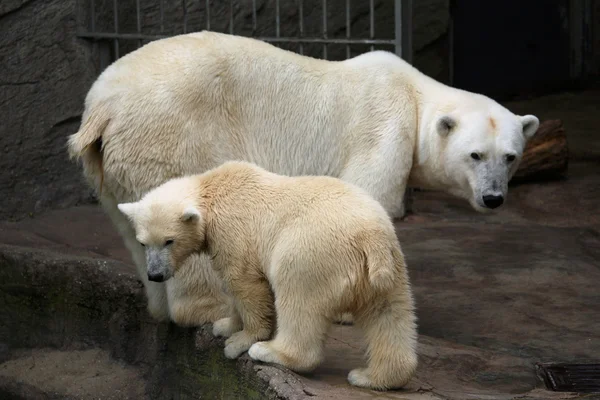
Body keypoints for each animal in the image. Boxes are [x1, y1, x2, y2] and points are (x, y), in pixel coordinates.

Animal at [68, 30, 540, 324]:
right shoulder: (385, 127)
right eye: (475, 155)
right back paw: (212, 309)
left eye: (510, 156)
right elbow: (367, 199)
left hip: (112, 164)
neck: (414, 93)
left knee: (135, 224)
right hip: (172, 134)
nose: (494, 198)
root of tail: (102, 107)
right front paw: (351, 307)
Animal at [116, 160, 418, 390]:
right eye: (143, 243)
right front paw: (224, 325)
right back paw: (372, 376)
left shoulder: (233, 229)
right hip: (388, 268)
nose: (155, 274)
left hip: (312, 252)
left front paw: (240, 341)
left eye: (169, 241)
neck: (211, 188)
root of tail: (370, 237)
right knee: (389, 315)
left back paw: (272, 351)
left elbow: (244, 282)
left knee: (299, 300)